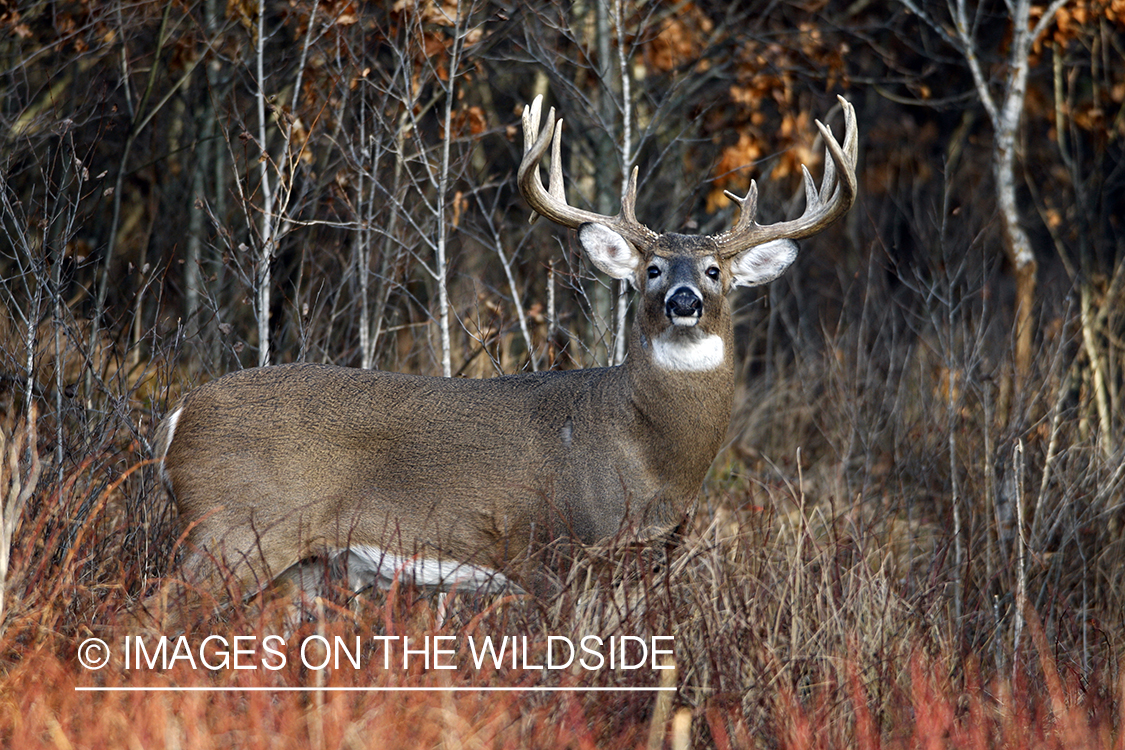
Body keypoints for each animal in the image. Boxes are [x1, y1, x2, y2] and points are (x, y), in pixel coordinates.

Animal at [147, 93, 850, 616]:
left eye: (714, 272)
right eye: (651, 269)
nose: (684, 300)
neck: (651, 455)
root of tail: (176, 420)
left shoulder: (640, 563)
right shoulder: (560, 552)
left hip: (304, 564)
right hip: (232, 530)